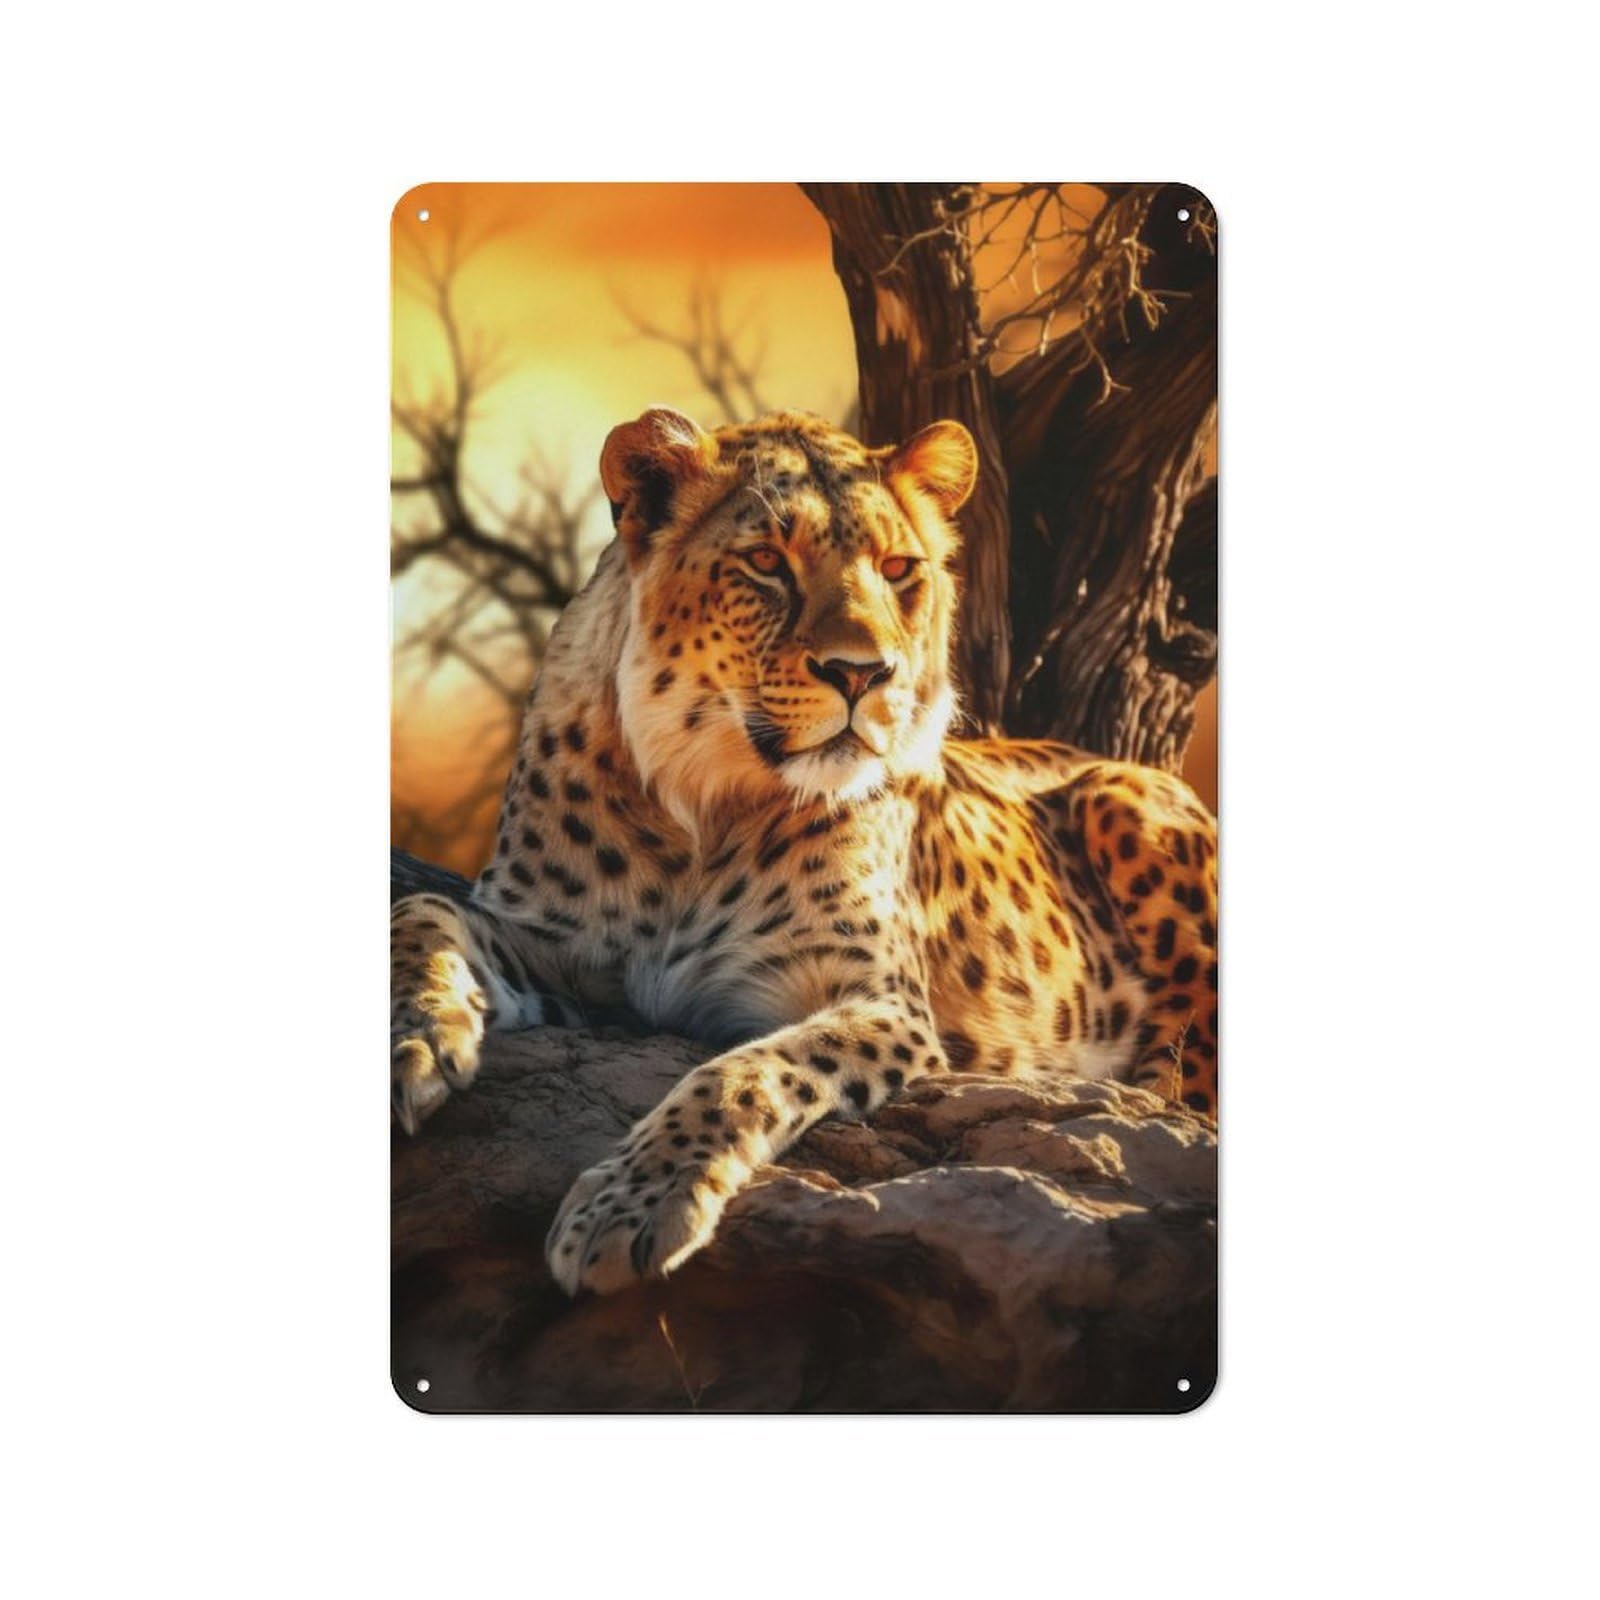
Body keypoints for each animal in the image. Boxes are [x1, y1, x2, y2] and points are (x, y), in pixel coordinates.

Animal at [390, 406, 1219, 1296]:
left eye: (898, 569)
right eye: (765, 563)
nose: (863, 675)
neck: (704, 809)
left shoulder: (880, 1002)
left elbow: (746, 1072)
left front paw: (631, 1206)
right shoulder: (560, 950)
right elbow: (424, 912)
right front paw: (418, 1039)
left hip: (1126, 801)